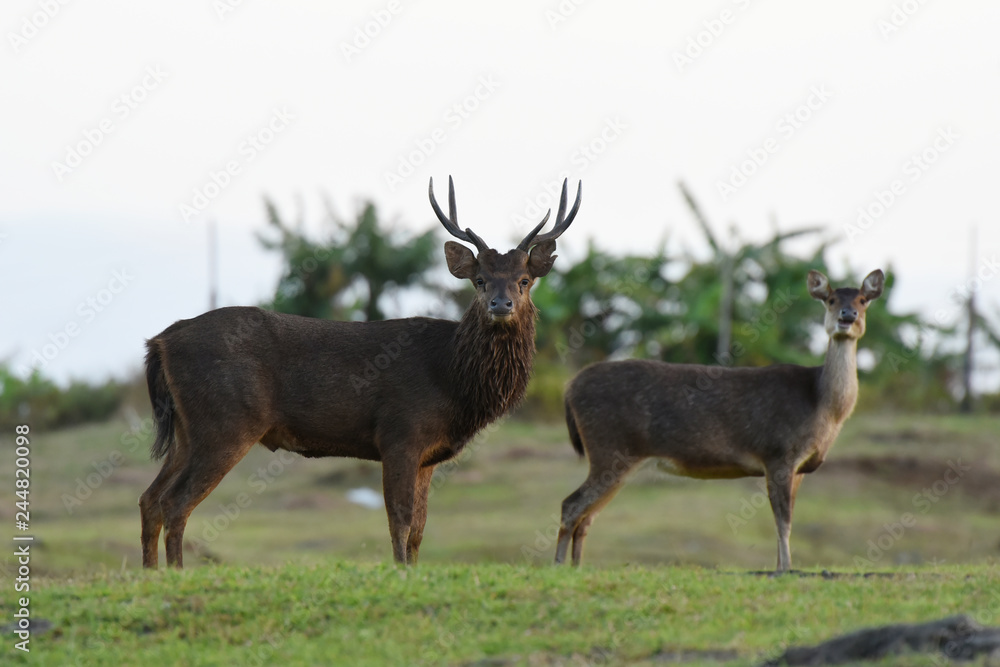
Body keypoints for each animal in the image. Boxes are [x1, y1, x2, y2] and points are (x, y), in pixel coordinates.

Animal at [139, 176, 581, 568]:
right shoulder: (400, 433)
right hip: (226, 421)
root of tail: (160, 341)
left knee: (149, 498)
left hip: (187, 430)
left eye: (525, 280)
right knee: (175, 502)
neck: (453, 380)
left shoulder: (428, 455)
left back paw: (151, 574)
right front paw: (400, 572)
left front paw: (414, 572)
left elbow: (420, 528)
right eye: (479, 280)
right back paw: (175, 574)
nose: (500, 305)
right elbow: (400, 521)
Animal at [554, 269, 885, 571]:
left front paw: (781, 566)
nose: (848, 315)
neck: (822, 405)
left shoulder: (799, 466)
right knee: (571, 505)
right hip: (609, 447)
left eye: (863, 300)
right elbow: (783, 520)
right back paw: (558, 565)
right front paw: (785, 569)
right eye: (830, 300)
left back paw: (576, 567)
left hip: (617, 458)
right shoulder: (778, 453)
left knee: (587, 515)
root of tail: (569, 388)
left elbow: (786, 517)